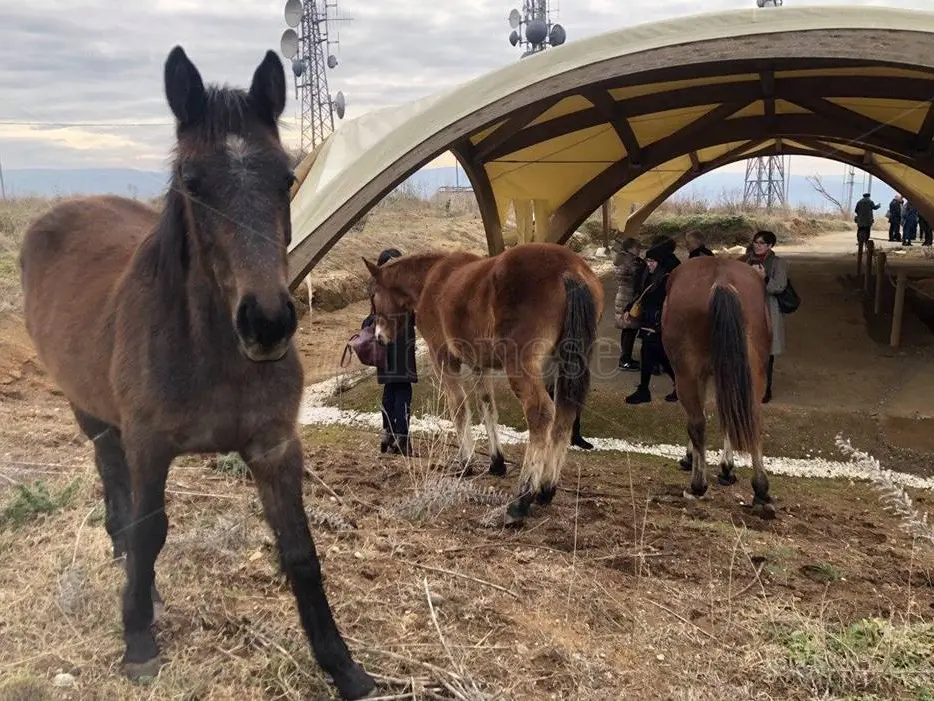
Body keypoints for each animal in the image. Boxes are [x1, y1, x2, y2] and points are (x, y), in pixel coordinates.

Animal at [18, 47, 374, 700]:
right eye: (191, 182)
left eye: (286, 179)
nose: (267, 323)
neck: (213, 355)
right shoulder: (150, 445)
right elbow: (150, 530)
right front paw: (137, 641)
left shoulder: (274, 446)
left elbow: (300, 550)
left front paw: (343, 666)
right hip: (92, 412)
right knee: (114, 483)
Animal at [362, 242, 603, 524]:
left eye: (373, 295)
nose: (380, 337)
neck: (431, 280)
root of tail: (569, 270)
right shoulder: (480, 365)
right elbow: (487, 407)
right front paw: (496, 462)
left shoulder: (444, 358)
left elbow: (459, 407)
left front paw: (465, 463)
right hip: (563, 365)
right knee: (565, 414)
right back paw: (546, 489)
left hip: (521, 366)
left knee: (541, 413)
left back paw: (521, 500)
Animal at [661, 255, 776, 519]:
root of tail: (721, 281)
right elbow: (728, 416)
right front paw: (726, 467)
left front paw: (693, 458)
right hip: (752, 369)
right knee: (751, 418)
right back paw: (761, 491)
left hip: (686, 373)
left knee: (697, 423)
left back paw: (698, 485)